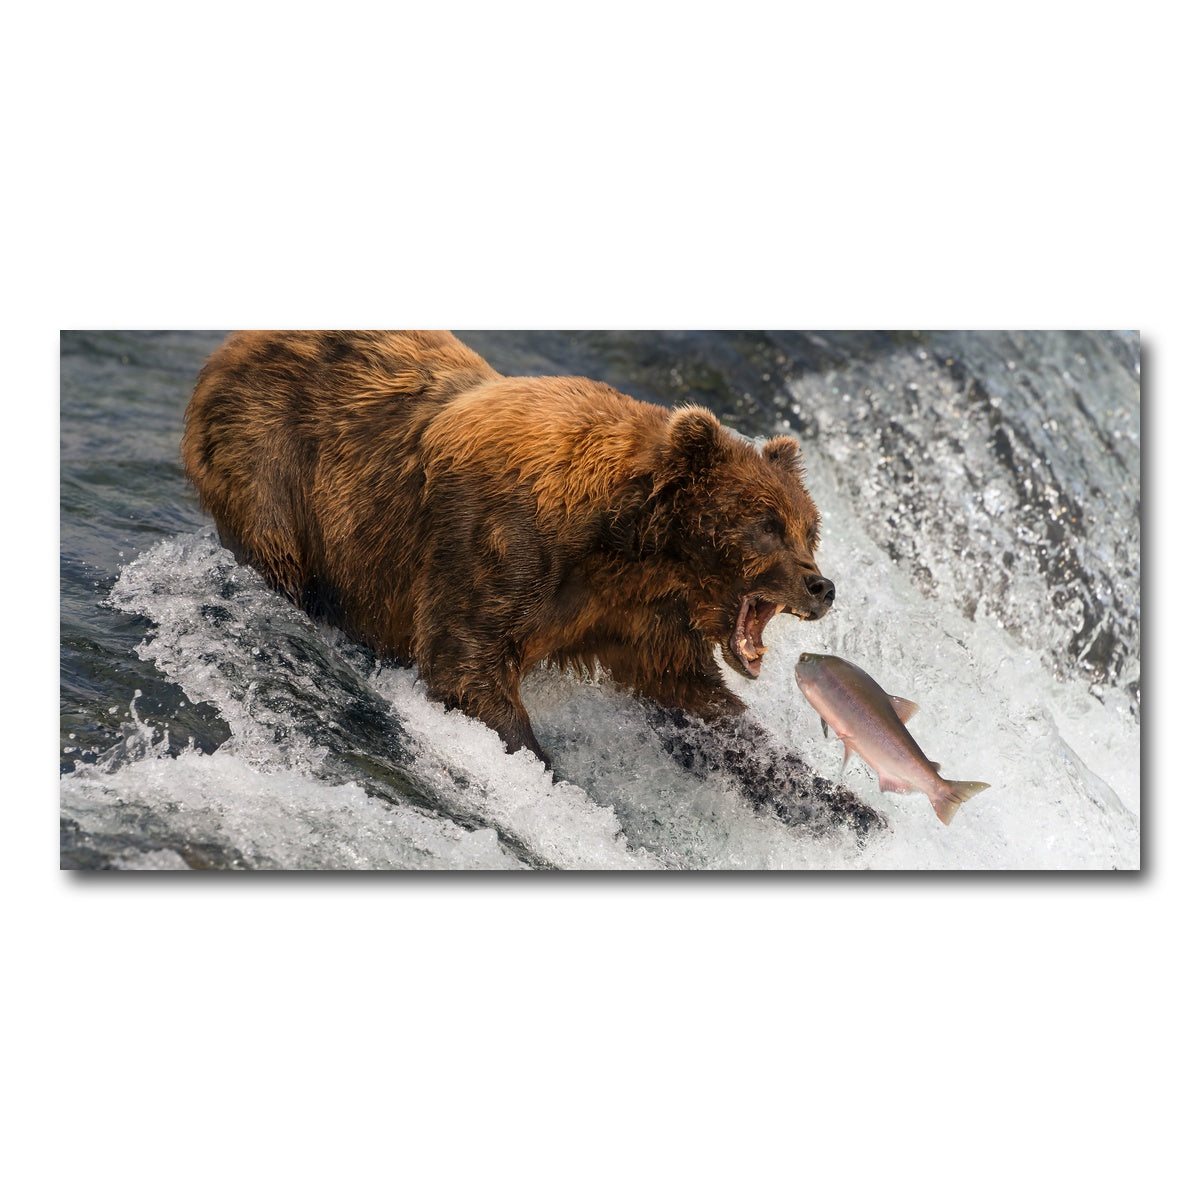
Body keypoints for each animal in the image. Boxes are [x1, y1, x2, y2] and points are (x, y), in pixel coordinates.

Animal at [182, 330, 882, 835]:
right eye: (766, 526)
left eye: (809, 528)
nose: (822, 586)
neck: (628, 544)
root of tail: (229, 348)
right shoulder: (499, 544)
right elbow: (467, 663)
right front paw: (551, 778)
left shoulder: (636, 616)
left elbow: (698, 705)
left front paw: (844, 804)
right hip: (274, 465)